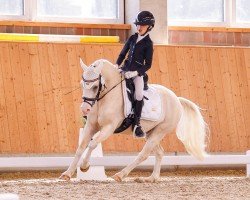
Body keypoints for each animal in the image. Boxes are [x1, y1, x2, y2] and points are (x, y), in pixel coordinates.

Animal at [59, 58, 208, 182]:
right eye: (82, 84)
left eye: (95, 86)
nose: (84, 109)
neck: (105, 98)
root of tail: (176, 99)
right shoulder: (91, 125)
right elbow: (80, 147)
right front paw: (67, 174)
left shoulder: (109, 127)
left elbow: (93, 143)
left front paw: (85, 166)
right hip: (150, 132)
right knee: (159, 152)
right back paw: (151, 178)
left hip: (160, 131)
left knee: (144, 154)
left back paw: (120, 175)